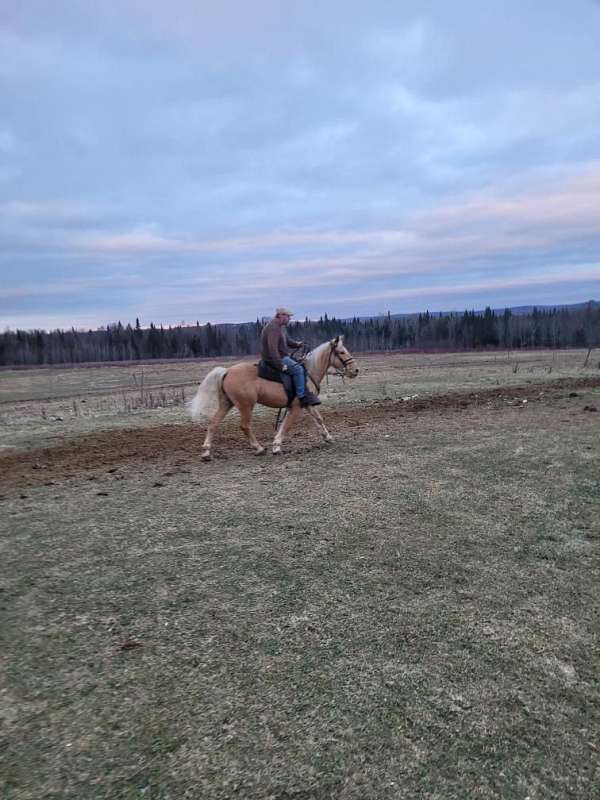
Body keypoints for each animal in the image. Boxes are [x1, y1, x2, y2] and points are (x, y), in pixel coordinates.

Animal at [189, 336, 356, 460]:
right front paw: (276, 446)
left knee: (213, 424)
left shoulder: (307, 404)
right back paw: (259, 448)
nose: (355, 370)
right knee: (245, 426)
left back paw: (206, 452)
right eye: (341, 352)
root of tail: (227, 371)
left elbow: (318, 419)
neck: (308, 373)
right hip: (246, 406)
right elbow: (287, 425)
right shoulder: (296, 407)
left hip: (226, 403)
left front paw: (328, 437)